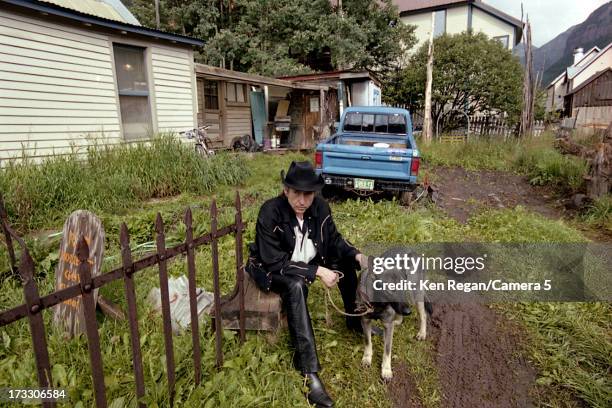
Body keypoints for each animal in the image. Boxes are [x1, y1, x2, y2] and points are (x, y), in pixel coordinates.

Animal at [356, 247, 432, 380]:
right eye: (390, 289)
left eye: (401, 286)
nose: (408, 312)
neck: (378, 304)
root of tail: (412, 251)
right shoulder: (365, 321)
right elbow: (367, 341)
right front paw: (367, 358)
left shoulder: (387, 325)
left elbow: (387, 350)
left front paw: (386, 370)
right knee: (400, 317)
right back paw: (398, 321)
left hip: (414, 293)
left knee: (422, 314)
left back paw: (422, 333)